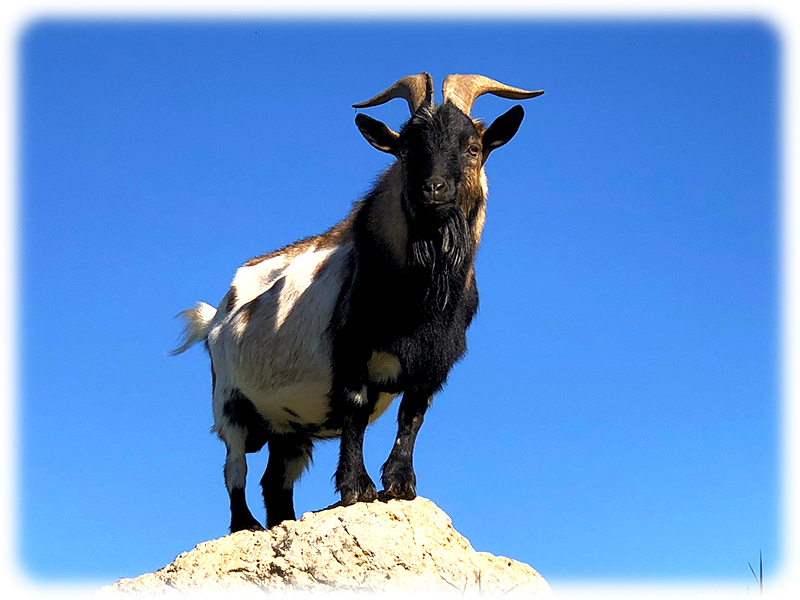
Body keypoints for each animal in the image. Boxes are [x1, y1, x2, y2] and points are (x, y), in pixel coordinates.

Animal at [173, 73, 543, 532]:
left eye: (473, 147)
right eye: (406, 148)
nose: (433, 189)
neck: (419, 299)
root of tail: (214, 318)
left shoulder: (433, 365)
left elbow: (412, 417)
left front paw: (400, 484)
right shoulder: (351, 351)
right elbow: (355, 411)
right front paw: (357, 488)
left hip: (287, 428)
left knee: (275, 481)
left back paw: (283, 522)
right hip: (229, 403)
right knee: (234, 468)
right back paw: (247, 526)